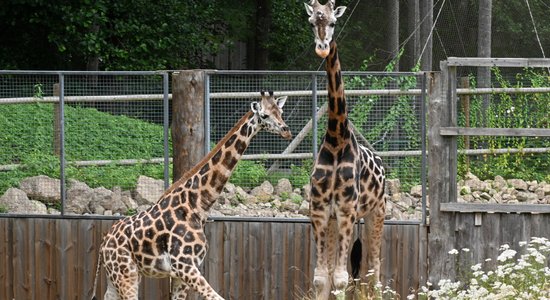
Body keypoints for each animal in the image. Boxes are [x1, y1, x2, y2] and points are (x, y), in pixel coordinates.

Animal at [93, 91, 294, 300]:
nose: (286, 131)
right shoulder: (184, 266)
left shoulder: (182, 272)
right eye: (264, 115)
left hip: (117, 276)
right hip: (126, 274)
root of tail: (103, 244)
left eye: (280, 112)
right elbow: (216, 297)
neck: (197, 205)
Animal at [306, 1, 388, 298]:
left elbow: (341, 279)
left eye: (333, 22)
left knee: (374, 267)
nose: (322, 46)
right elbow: (322, 277)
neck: (335, 139)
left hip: (377, 212)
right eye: (312, 22)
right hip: (335, 221)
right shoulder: (320, 211)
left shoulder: (346, 210)